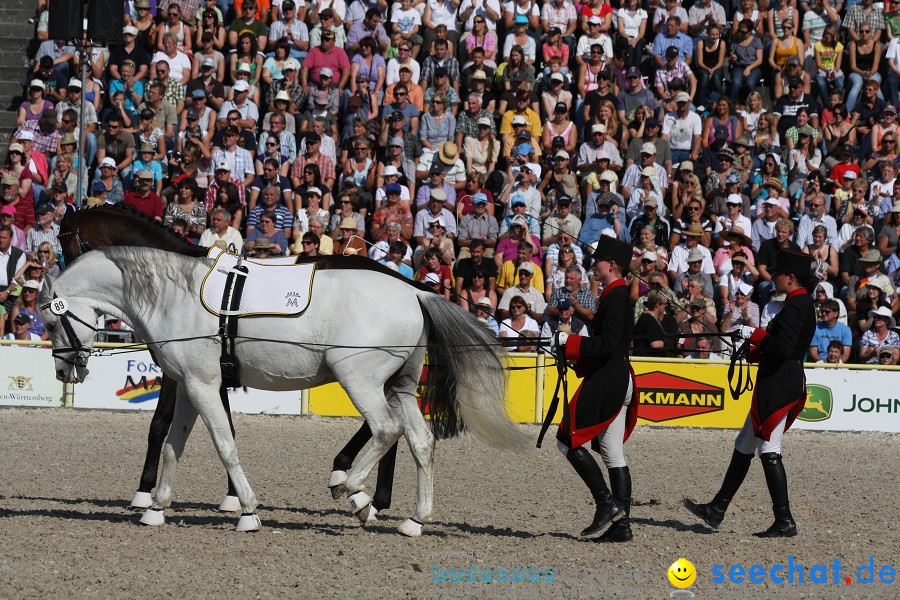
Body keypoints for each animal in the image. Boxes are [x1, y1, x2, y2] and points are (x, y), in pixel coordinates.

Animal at [38, 246, 524, 536]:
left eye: (48, 319)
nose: (62, 370)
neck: (174, 296)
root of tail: (413, 292)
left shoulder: (203, 386)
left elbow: (224, 444)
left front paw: (248, 511)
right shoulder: (190, 386)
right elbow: (175, 444)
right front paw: (155, 507)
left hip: (362, 382)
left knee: (386, 431)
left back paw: (353, 491)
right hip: (399, 387)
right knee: (420, 441)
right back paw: (413, 520)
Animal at [61, 205, 400, 510]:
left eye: (68, 246)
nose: (59, 287)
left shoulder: (182, 375)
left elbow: (158, 426)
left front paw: (144, 492)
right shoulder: (213, 375)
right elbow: (221, 430)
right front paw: (232, 496)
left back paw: (347, 476)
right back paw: (375, 496)